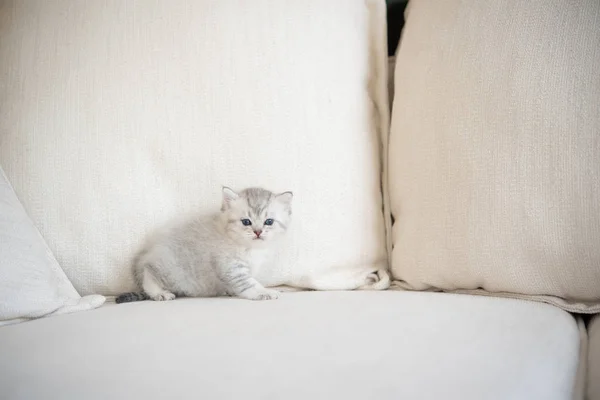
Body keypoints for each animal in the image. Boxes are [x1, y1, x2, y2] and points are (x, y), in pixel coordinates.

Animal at [115, 188, 292, 304]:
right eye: (246, 222)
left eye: (269, 221)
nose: (258, 232)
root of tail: (146, 252)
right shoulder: (231, 267)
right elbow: (249, 283)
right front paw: (264, 292)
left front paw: (231, 291)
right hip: (170, 267)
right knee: (149, 272)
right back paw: (159, 293)